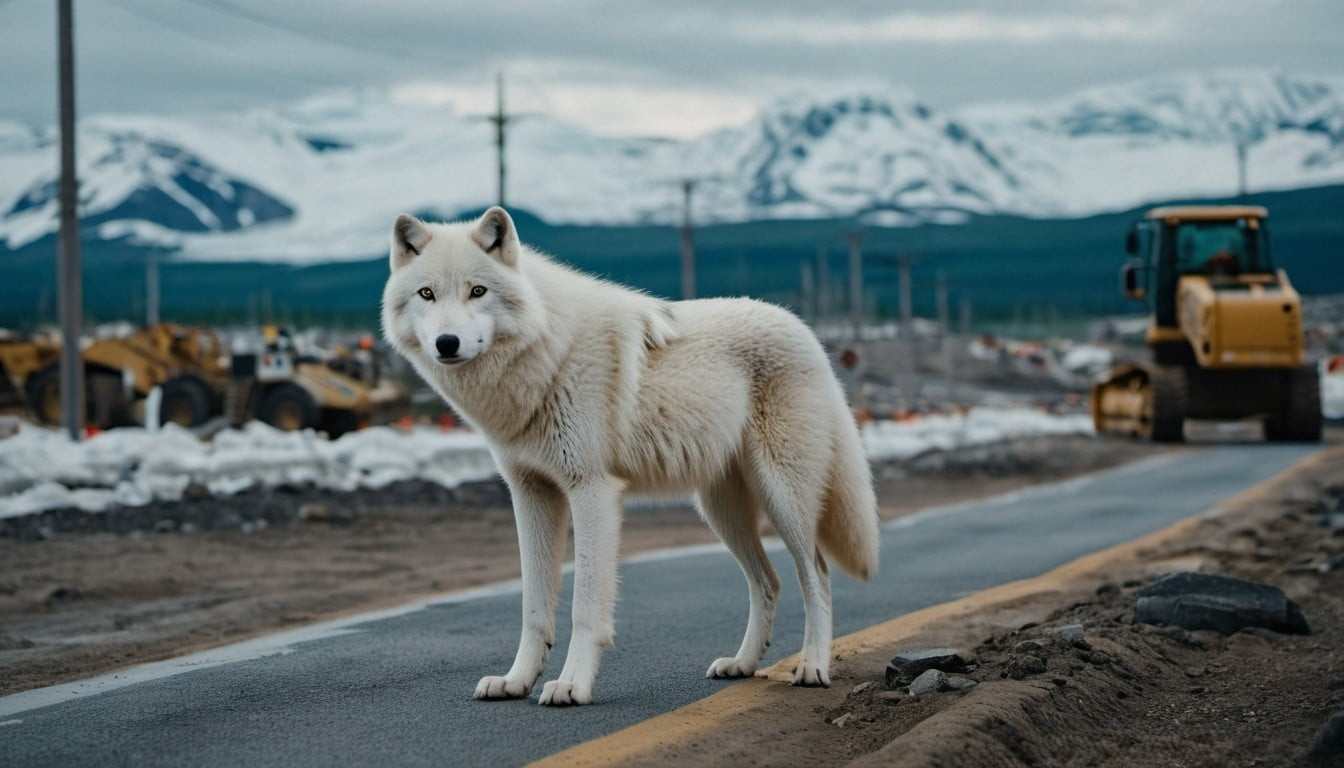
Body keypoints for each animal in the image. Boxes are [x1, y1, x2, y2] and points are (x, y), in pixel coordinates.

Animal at [381, 207, 881, 704]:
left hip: (783, 498)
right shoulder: (530, 494)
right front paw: (516, 680)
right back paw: (742, 664)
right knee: (769, 580)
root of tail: (806, 332)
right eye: (427, 294)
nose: (447, 342)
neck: (547, 351)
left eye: (477, 291)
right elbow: (533, 607)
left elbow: (584, 606)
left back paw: (813, 666)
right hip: (719, 511)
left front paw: (571, 684)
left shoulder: (592, 490)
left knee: (816, 574)